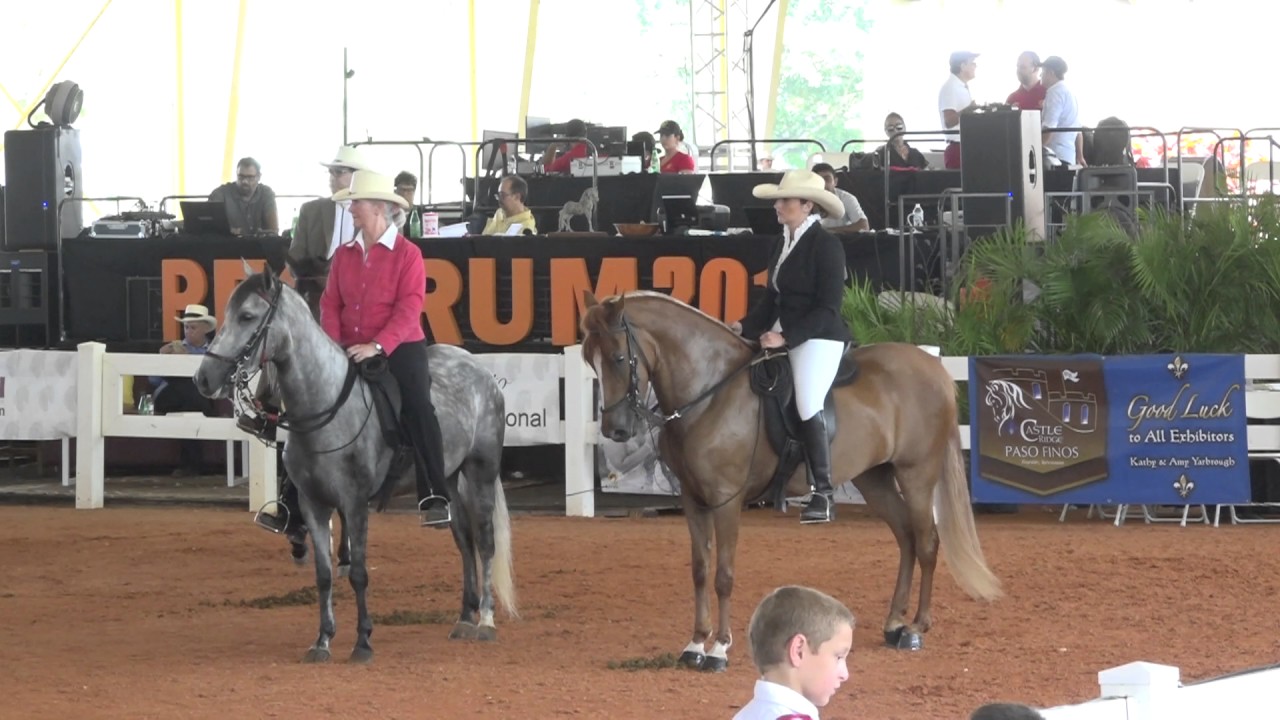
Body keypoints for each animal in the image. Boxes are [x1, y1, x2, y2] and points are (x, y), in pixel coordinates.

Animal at [194, 266, 514, 661]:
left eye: (248, 316)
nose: (204, 378)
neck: (326, 405)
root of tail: (480, 372)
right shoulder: (313, 505)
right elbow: (324, 575)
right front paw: (322, 640)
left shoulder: (354, 503)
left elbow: (359, 572)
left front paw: (362, 641)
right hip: (450, 483)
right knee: (464, 542)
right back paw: (465, 618)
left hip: (480, 472)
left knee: (484, 543)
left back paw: (485, 620)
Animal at [578, 286, 998, 666]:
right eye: (587, 359)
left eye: (618, 357)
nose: (615, 430)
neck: (710, 392)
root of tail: (933, 367)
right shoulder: (693, 499)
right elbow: (699, 570)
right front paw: (695, 644)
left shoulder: (726, 499)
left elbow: (723, 574)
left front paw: (719, 649)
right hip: (875, 479)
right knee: (906, 538)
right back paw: (894, 623)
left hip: (916, 474)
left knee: (926, 543)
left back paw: (915, 629)